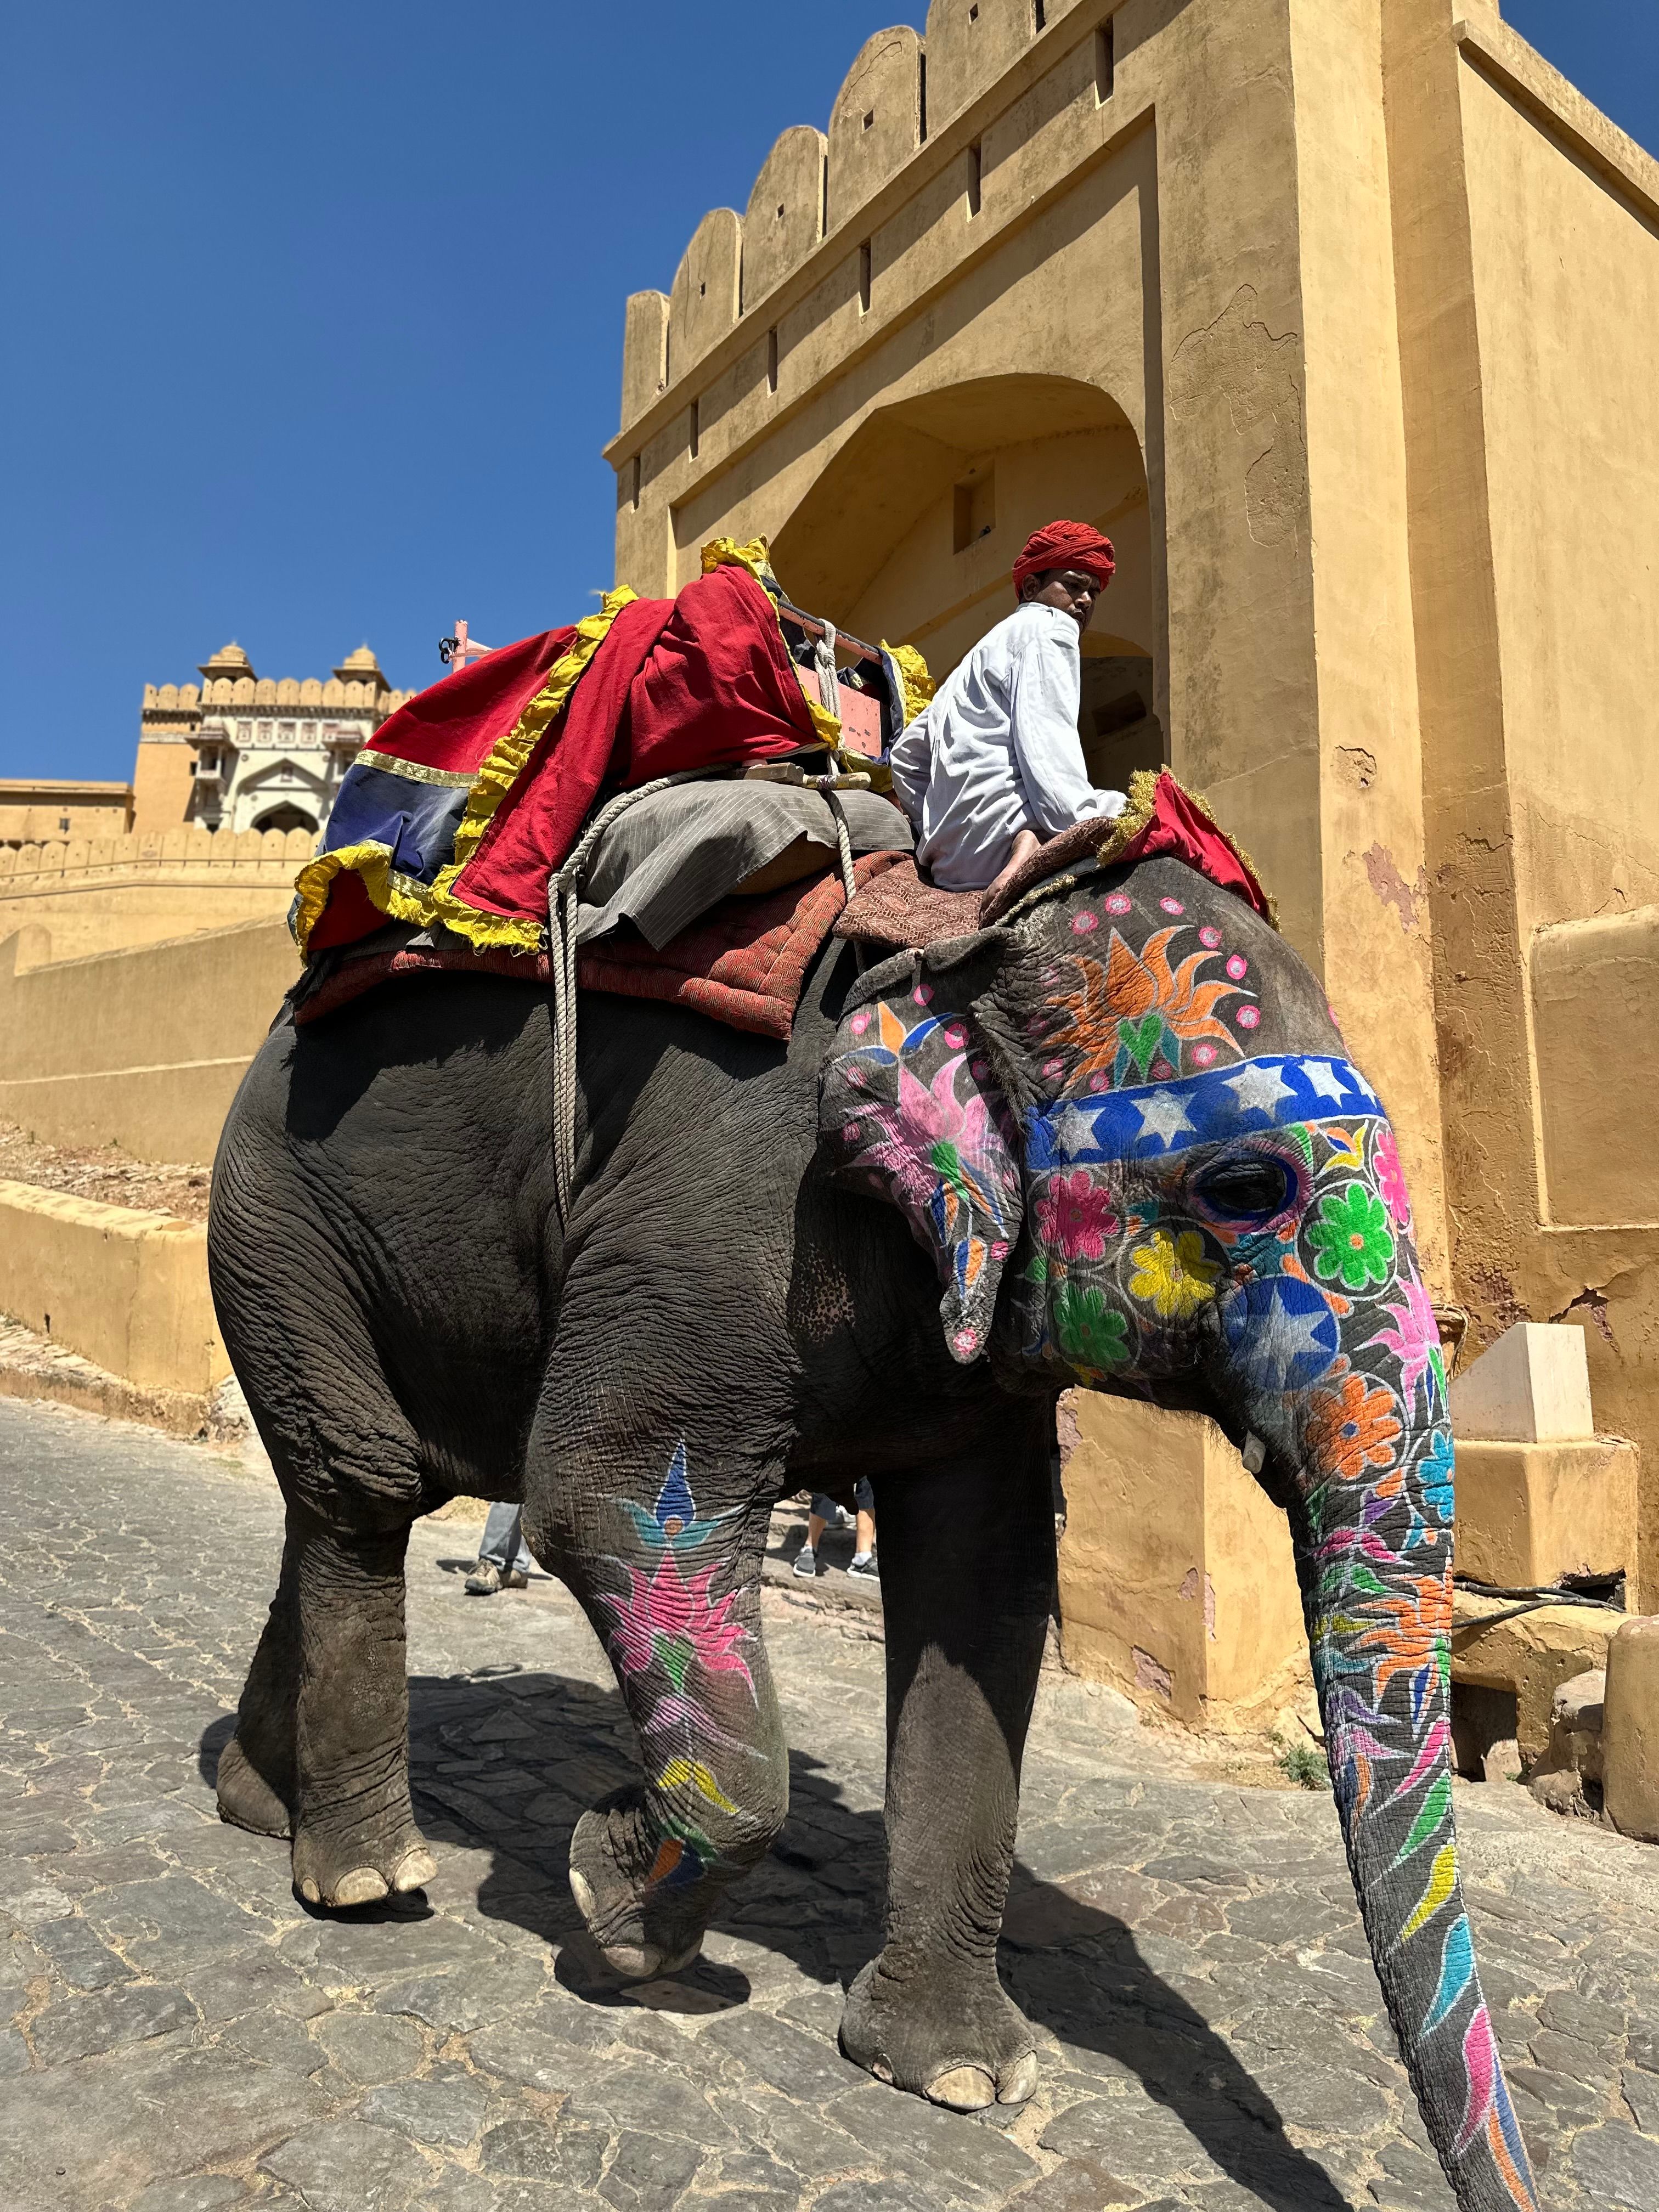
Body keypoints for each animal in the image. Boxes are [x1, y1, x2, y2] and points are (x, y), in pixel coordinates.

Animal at [208, 846, 1538, 2212]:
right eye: (1244, 1187)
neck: (966, 937)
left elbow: (983, 1591)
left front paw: (954, 2078)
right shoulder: (719, 1220)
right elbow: (601, 1497)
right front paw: (607, 1904)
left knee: (338, 1491)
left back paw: (259, 1805)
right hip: (280, 1221)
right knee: (365, 1485)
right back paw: (366, 1880)